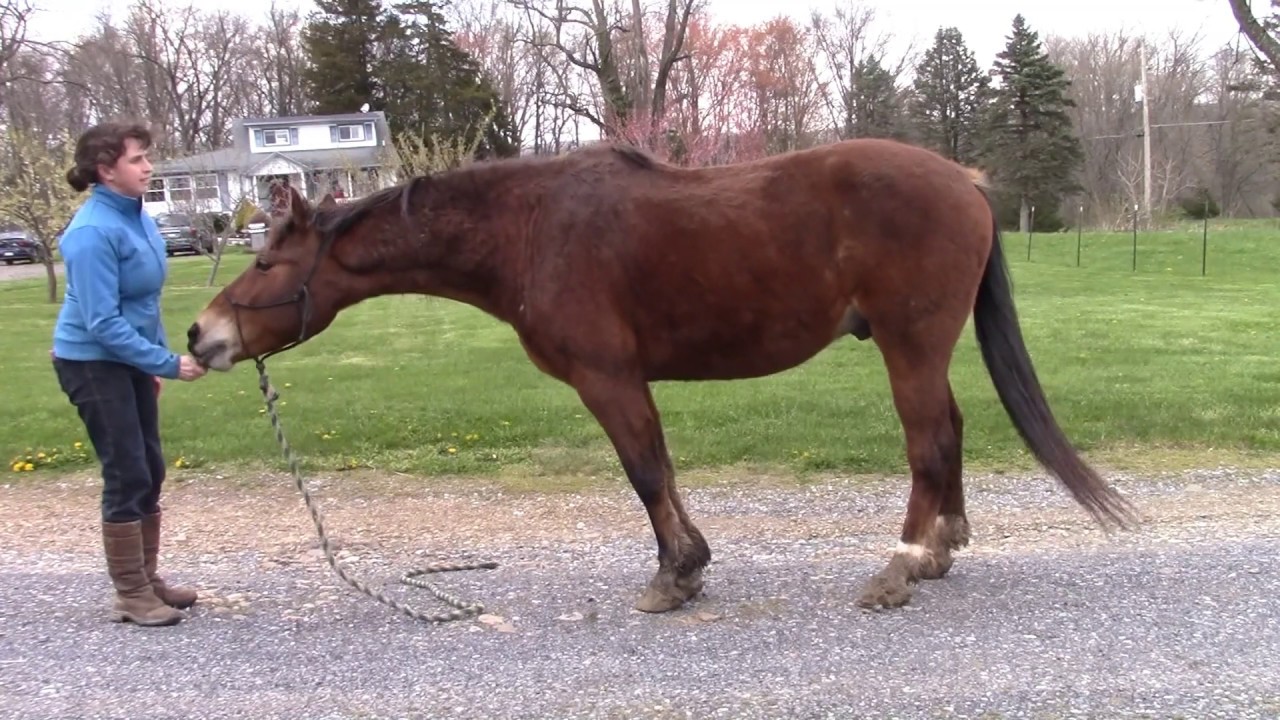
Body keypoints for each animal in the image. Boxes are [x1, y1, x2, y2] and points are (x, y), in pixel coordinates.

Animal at [186, 138, 1135, 613]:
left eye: (266, 262)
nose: (201, 334)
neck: (530, 230)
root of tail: (966, 182)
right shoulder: (625, 380)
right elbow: (664, 470)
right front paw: (689, 565)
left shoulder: (606, 377)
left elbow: (646, 472)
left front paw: (676, 574)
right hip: (923, 348)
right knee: (950, 433)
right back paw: (940, 551)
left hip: (909, 344)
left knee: (929, 443)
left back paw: (899, 567)